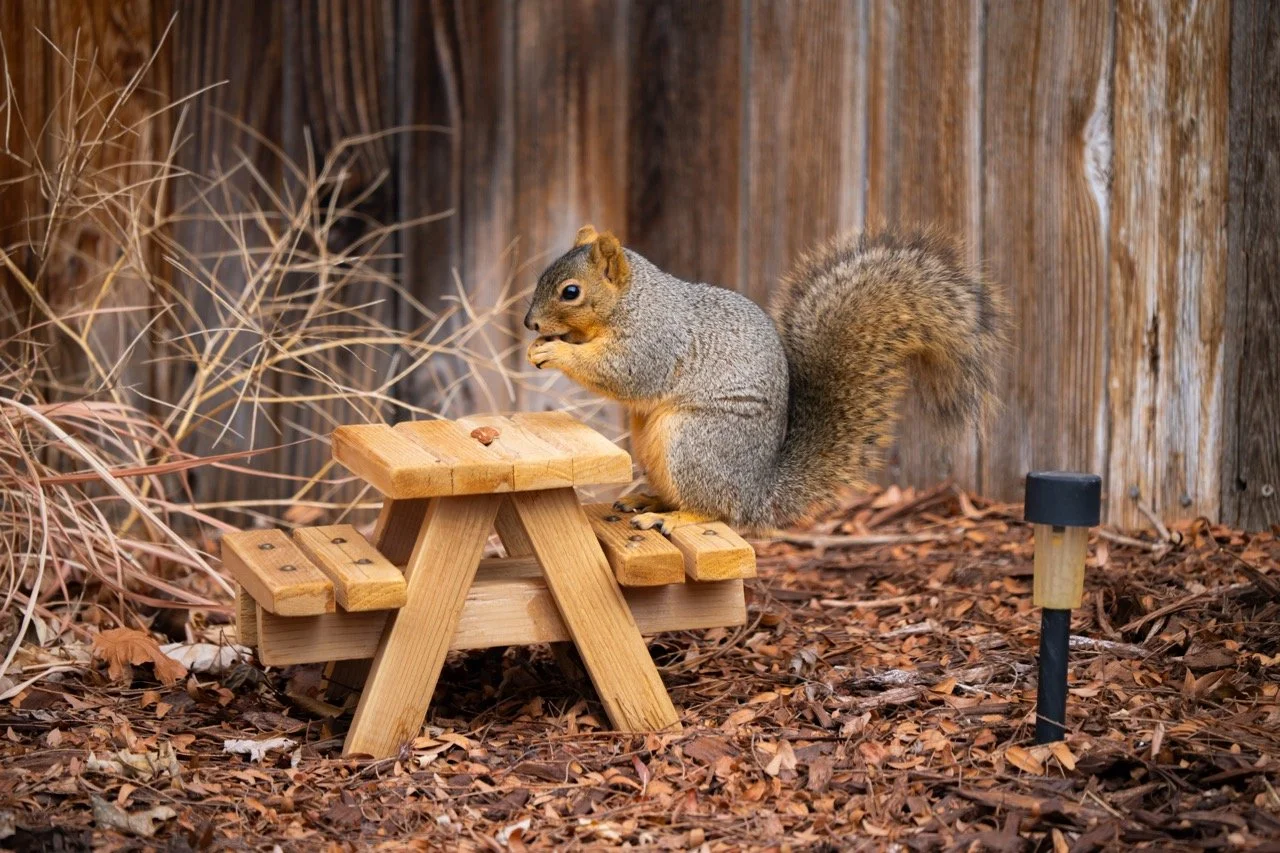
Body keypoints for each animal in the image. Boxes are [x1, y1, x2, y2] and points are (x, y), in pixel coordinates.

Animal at [524, 224, 1009, 535]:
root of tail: (756, 492)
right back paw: (651, 501)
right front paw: (540, 346)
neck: (633, 301)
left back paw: (672, 517)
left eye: (571, 292)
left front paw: (555, 350)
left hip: (695, 442)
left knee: (717, 509)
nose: (530, 324)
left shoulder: (654, 341)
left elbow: (622, 373)